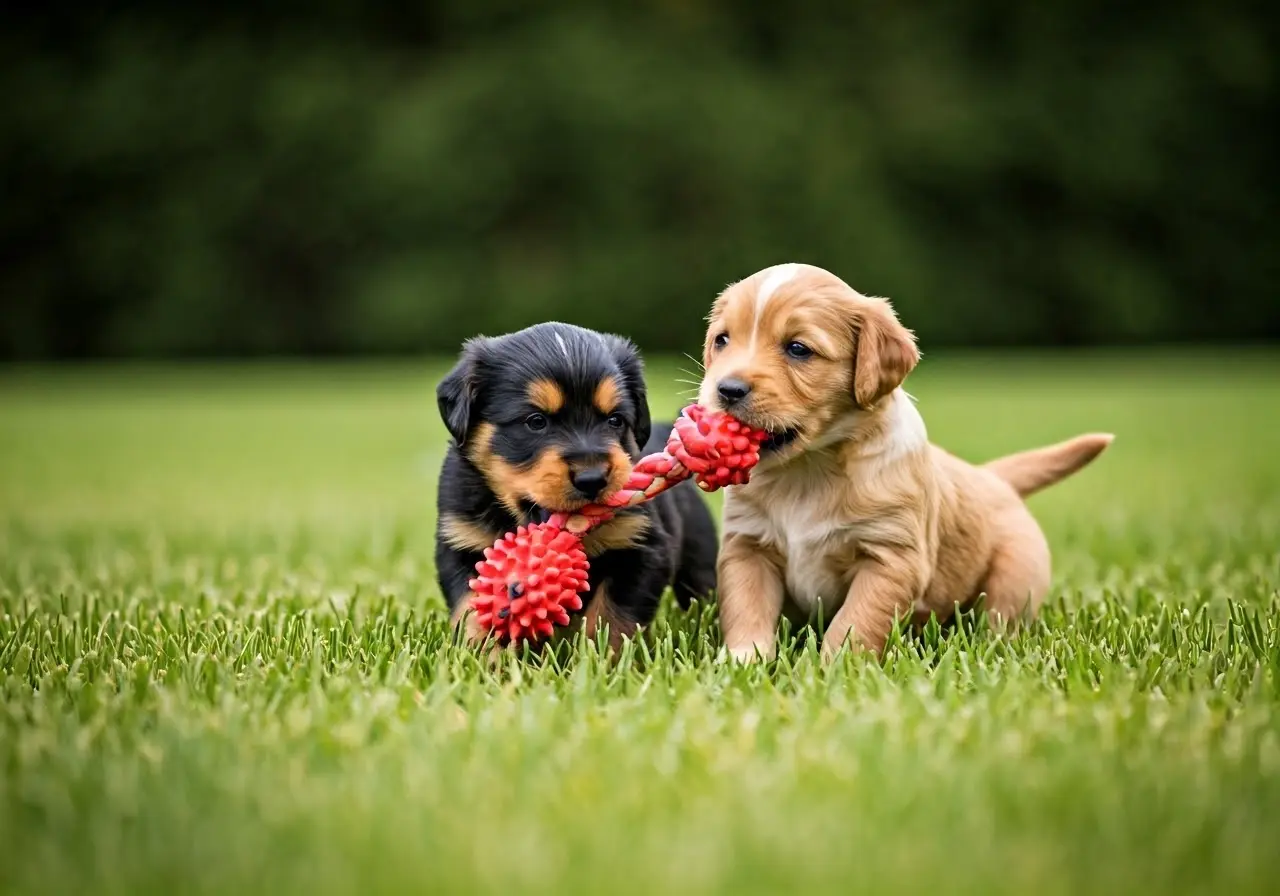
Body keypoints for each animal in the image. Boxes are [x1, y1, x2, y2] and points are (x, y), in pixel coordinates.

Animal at [435, 322, 721, 650]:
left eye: (615, 420)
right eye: (535, 421)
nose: (592, 479)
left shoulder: (641, 547)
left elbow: (612, 620)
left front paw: (603, 659)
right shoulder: (463, 542)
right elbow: (475, 609)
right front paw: (483, 656)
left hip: (699, 560)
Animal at [701, 262, 1111, 660]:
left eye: (798, 348)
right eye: (722, 340)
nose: (727, 390)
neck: (808, 469)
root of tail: (992, 477)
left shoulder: (891, 558)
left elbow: (855, 622)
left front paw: (837, 668)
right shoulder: (747, 547)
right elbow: (747, 611)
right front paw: (742, 663)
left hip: (1014, 575)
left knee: (1000, 619)